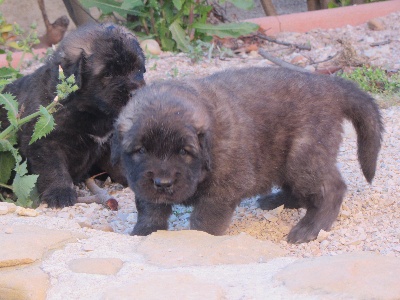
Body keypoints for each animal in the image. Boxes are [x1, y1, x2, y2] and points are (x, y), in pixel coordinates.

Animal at [0, 23, 146, 207]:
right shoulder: (46, 143)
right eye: (107, 73)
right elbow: (54, 169)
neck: (90, 111)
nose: (136, 92)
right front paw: (60, 193)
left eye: (138, 69)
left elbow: (121, 164)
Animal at [112, 67, 382, 243]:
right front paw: (143, 233)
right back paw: (276, 200)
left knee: (331, 189)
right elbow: (150, 209)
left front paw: (200, 240)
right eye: (141, 150)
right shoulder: (142, 182)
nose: (163, 183)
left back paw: (310, 228)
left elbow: (204, 220)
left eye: (184, 151)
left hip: (303, 155)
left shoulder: (223, 188)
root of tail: (329, 85)